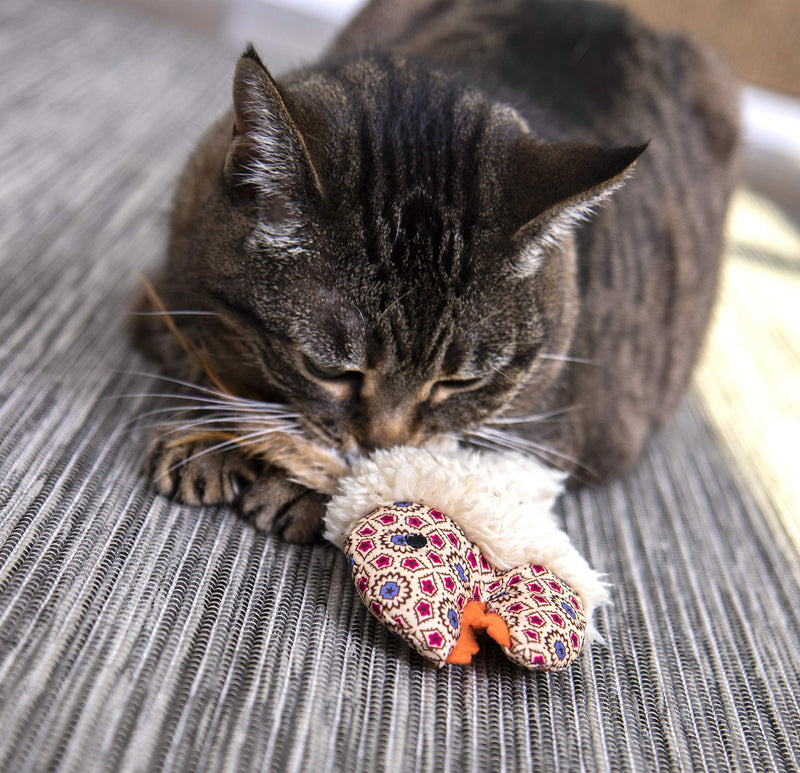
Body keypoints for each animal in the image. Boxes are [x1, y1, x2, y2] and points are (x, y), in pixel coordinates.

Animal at [131, 0, 736, 544]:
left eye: (461, 383)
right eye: (324, 369)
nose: (379, 445)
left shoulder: (557, 434)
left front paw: (308, 485)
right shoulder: (170, 279)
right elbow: (202, 351)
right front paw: (206, 434)